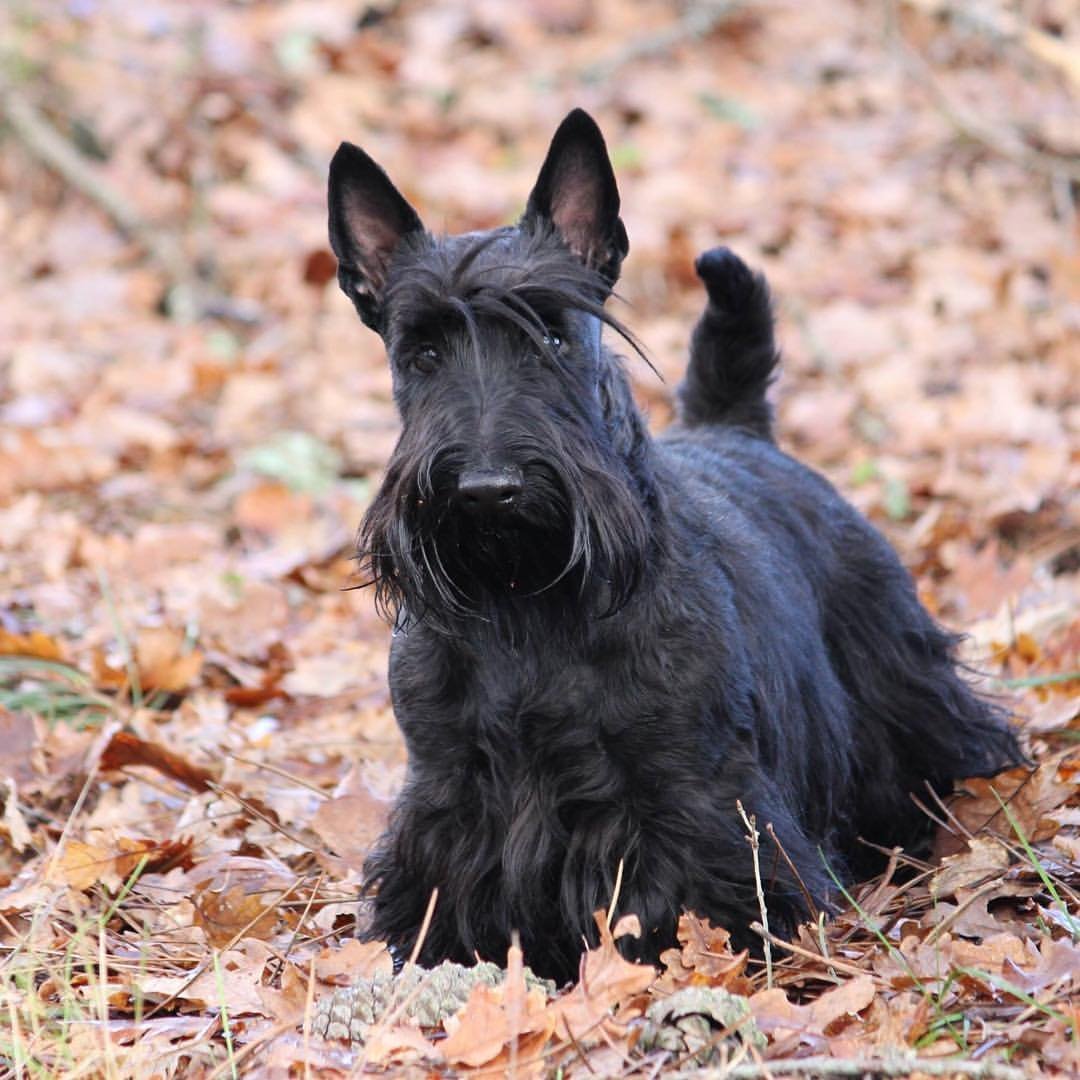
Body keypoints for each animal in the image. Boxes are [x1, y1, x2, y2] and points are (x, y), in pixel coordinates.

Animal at [328, 111, 1019, 989]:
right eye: (420, 350)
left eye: (553, 334)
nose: (487, 487)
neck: (526, 594)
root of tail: (737, 427)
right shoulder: (449, 787)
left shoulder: (695, 789)